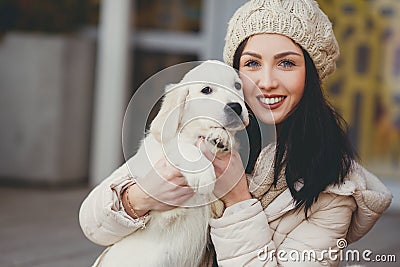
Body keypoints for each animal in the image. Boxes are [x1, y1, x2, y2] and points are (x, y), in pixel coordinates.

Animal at [99, 61, 248, 267]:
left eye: (238, 86)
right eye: (206, 90)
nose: (236, 107)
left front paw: (221, 137)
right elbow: (180, 146)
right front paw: (203, 174)